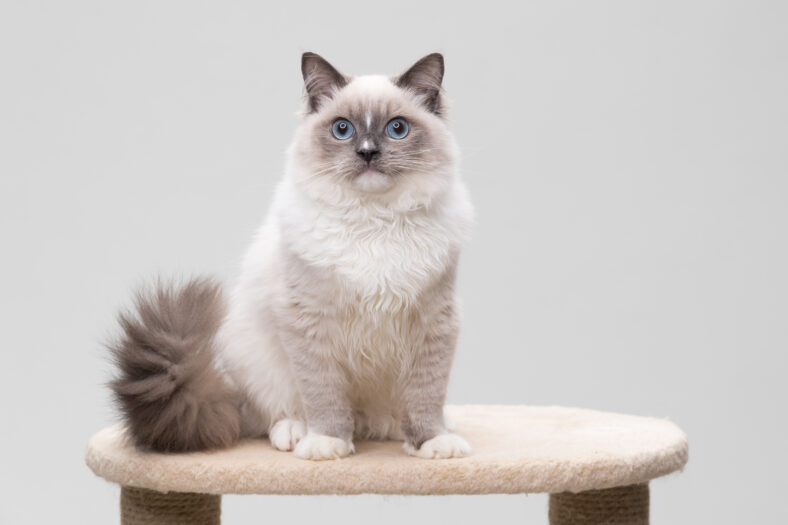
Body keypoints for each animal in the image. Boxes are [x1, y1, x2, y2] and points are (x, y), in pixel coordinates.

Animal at [110, 53, 474, 458]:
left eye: (397, 129)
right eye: (343, 129)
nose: (367, 152)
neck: (373, 221)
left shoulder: (432, 321)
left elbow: (426, 396)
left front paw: (432, 442)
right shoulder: (310, 322)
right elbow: (323, 396)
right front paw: (327, 443)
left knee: (388, 414)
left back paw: (408, 428)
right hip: (255, 356)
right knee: (274, 413)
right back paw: (298, 434)